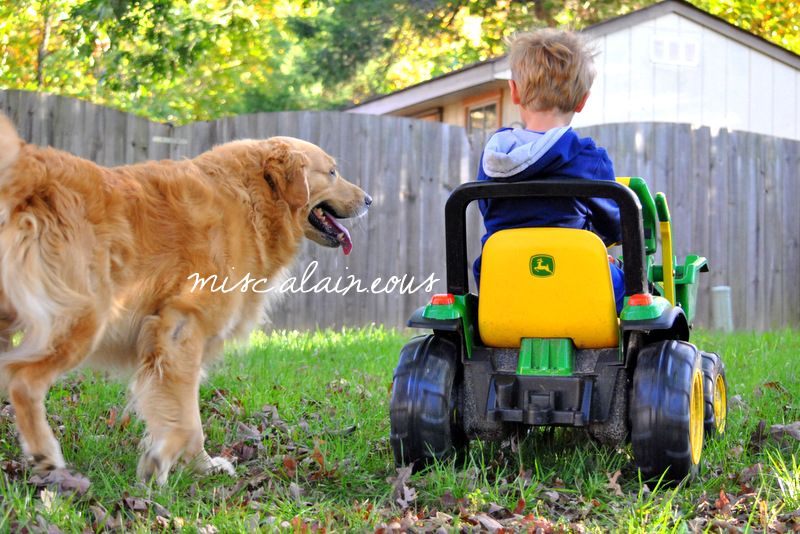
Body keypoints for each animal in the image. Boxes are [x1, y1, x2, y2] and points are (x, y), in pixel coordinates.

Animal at [0, 115, 370, 488]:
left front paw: (196, 465)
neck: (252, 198)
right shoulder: (181, 328)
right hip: (84, 319)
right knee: (22, 381)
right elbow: (187, 419)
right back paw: (46, 456)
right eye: (333, 172)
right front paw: (173, 461)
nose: (369, 199)